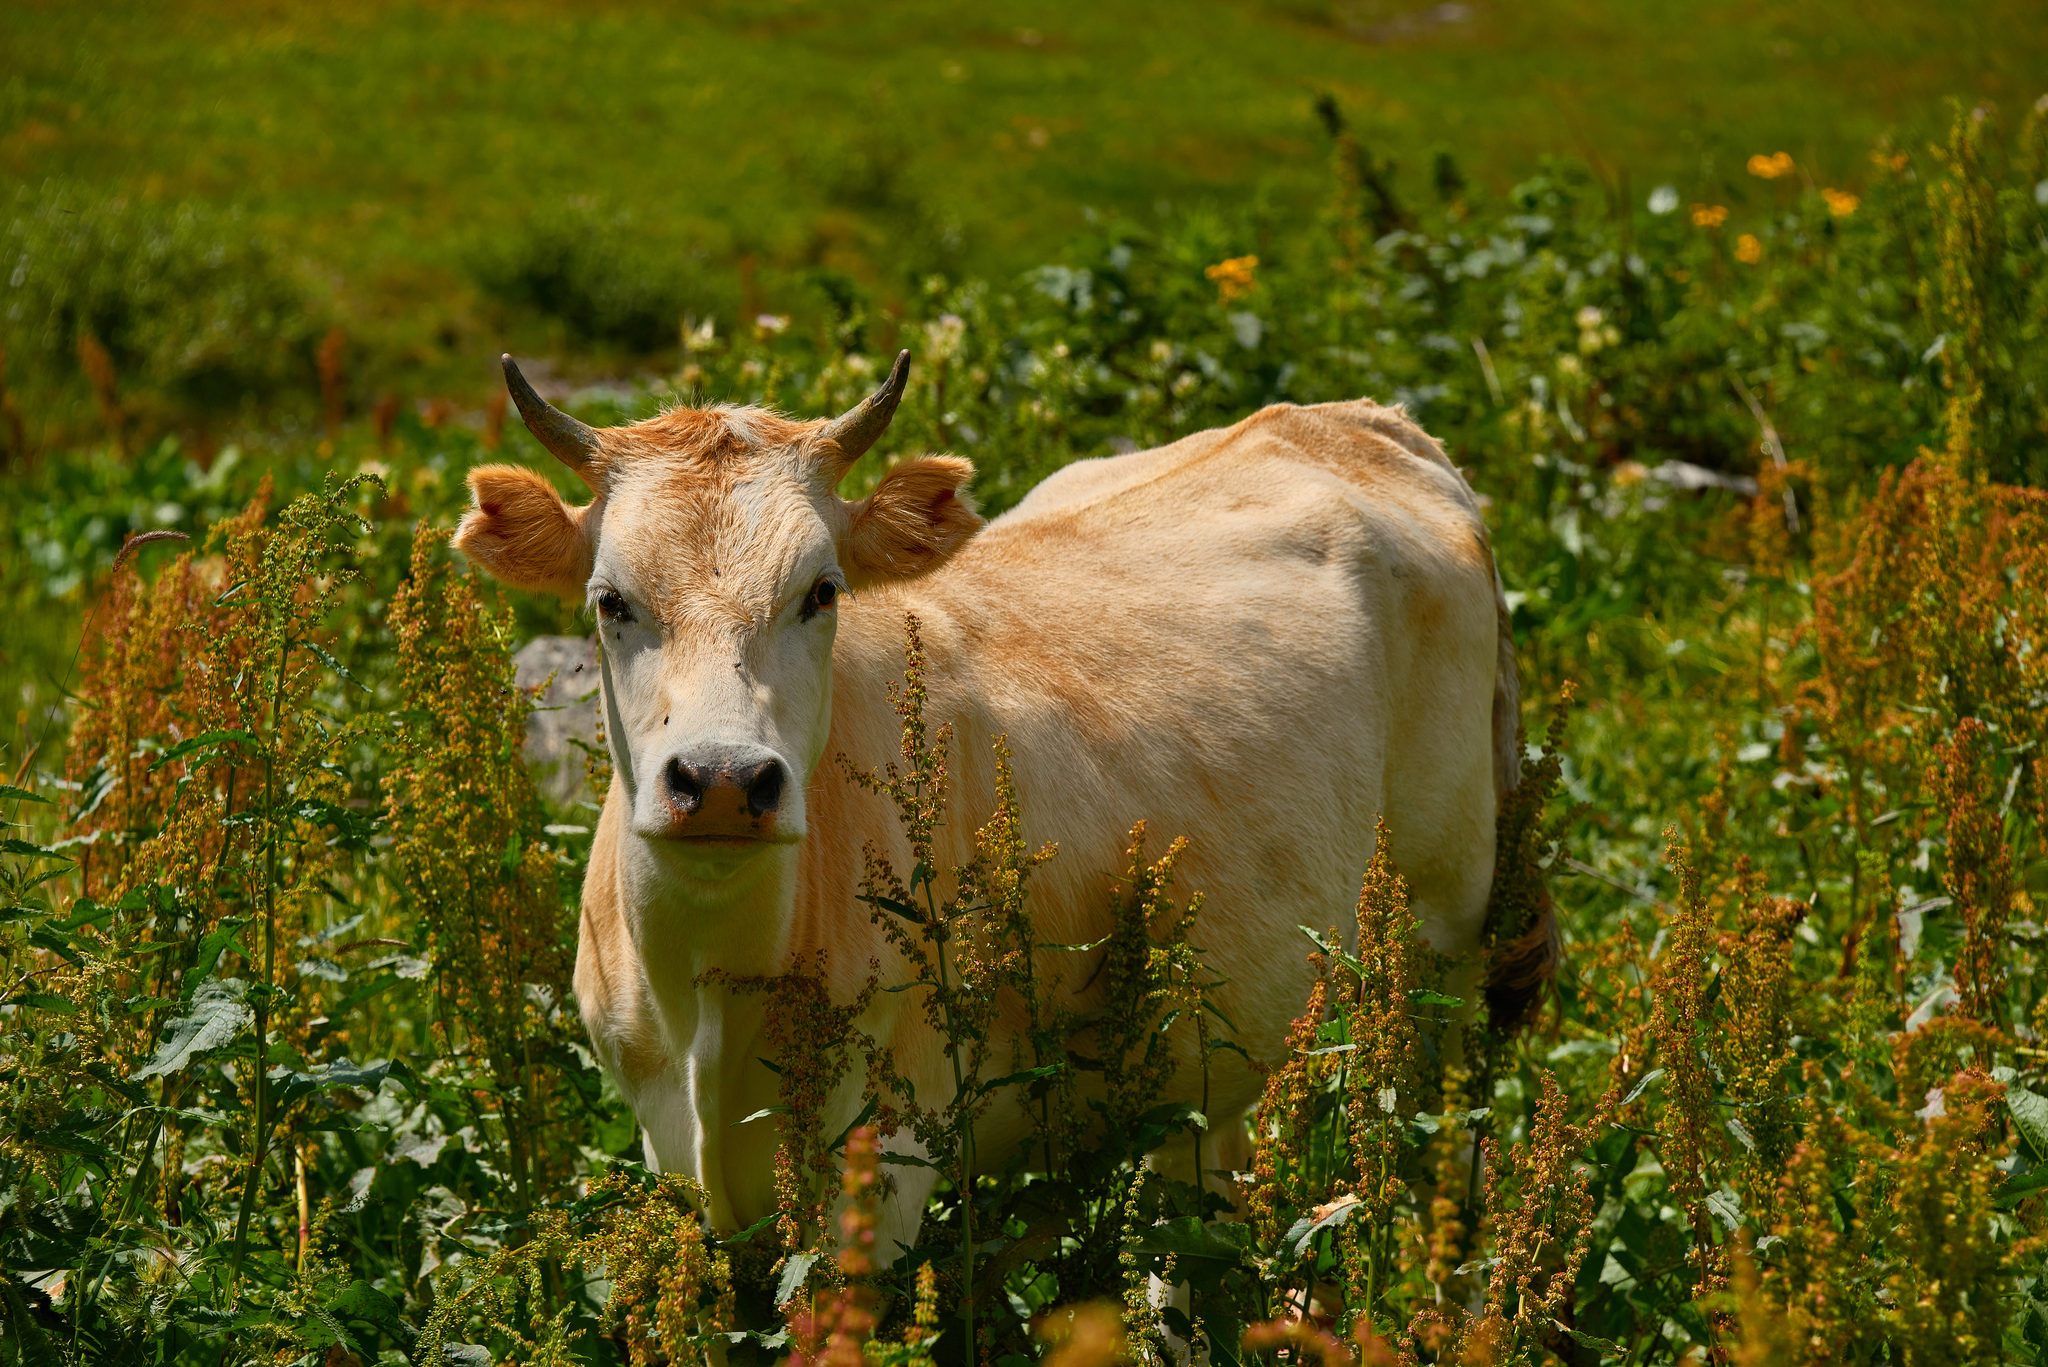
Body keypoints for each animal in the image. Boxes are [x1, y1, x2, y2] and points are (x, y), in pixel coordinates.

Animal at [452, 350, 1540, 1262]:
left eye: (821, 591)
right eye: (610, 600)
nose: (722, 779)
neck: (718, 991)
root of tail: (1350, 420)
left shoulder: (883, 1164)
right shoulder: (670, 1150)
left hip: (1446, 941)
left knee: (1442, 1156)